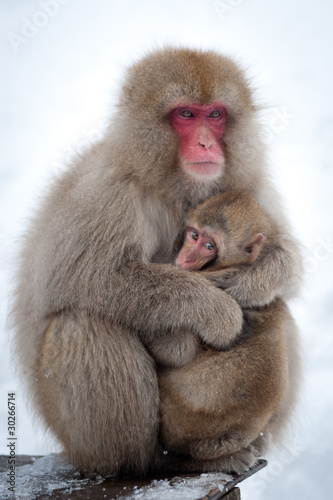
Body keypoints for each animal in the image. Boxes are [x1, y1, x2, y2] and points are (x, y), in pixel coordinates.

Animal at [13, 47, 300, 476]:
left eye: (215, 114)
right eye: (186, 114)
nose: (206, 144)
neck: (174, 184)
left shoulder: (248, 186)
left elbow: (289, 263)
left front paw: (252, 281)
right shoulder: (107, 193)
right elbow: (91, 280)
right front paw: (214, 309)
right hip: (82, 441)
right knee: (81, 323)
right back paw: (155, 463)